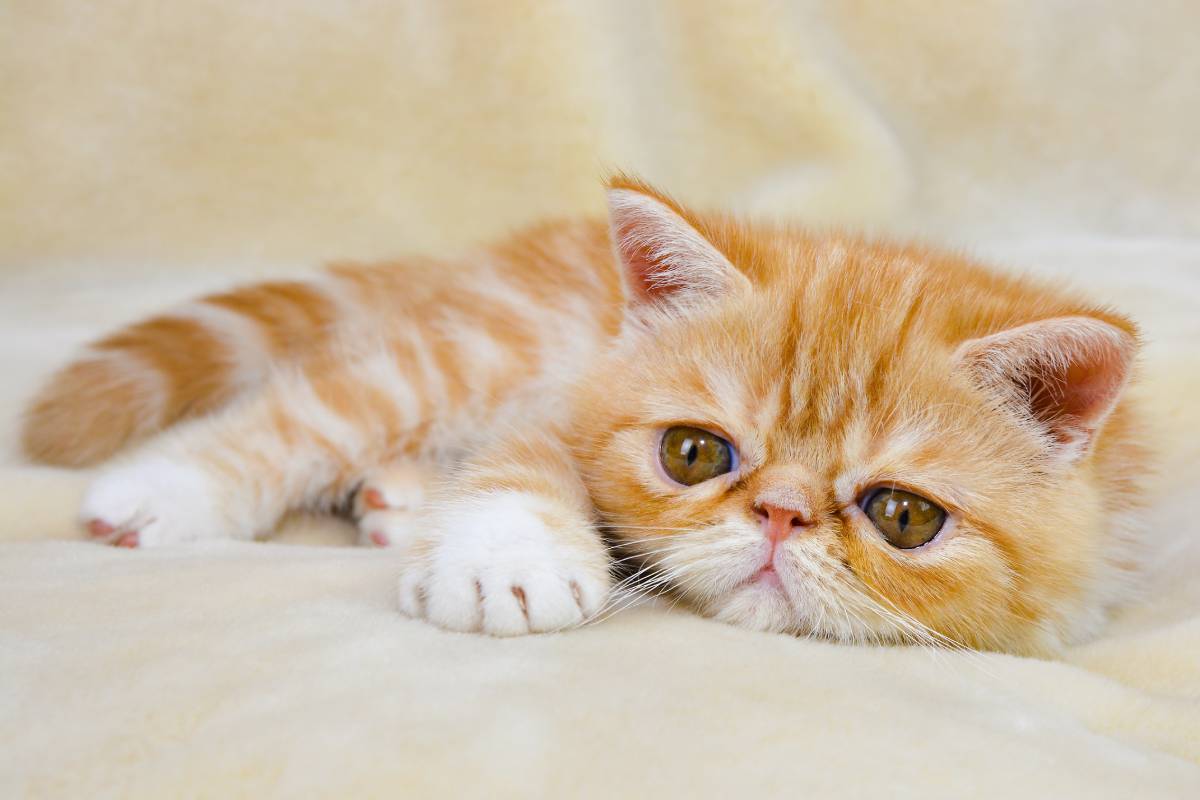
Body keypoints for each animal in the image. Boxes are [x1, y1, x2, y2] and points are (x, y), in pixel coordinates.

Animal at [18, 176, 1142, 657]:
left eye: (904, 516)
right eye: (694, 453)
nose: (779, 516)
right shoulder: (564, 381)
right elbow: (523, 461)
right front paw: (503, 559)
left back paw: (399, 498)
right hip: (479, 346)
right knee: (329, 400)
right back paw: (164, 489)